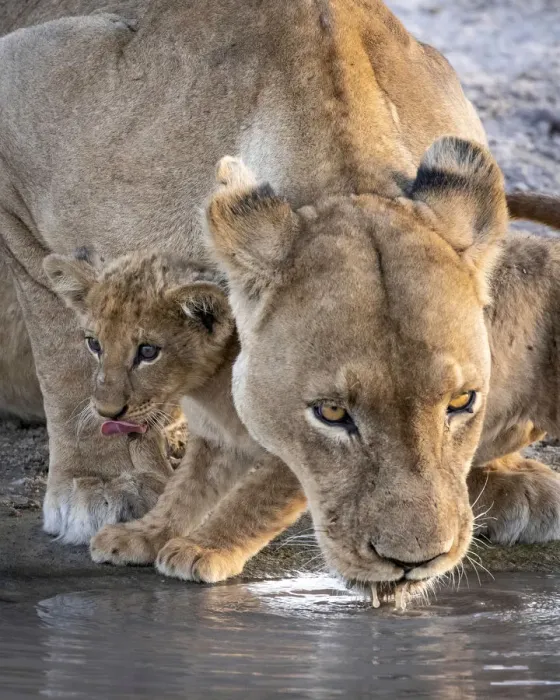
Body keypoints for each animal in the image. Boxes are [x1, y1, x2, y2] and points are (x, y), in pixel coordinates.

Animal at [1, 0, 559, 597]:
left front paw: (505, 475)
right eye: (332, 413)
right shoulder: (23, 93)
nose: (415, 561)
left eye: (462, 402)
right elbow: (63, 343)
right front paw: (105, 484)